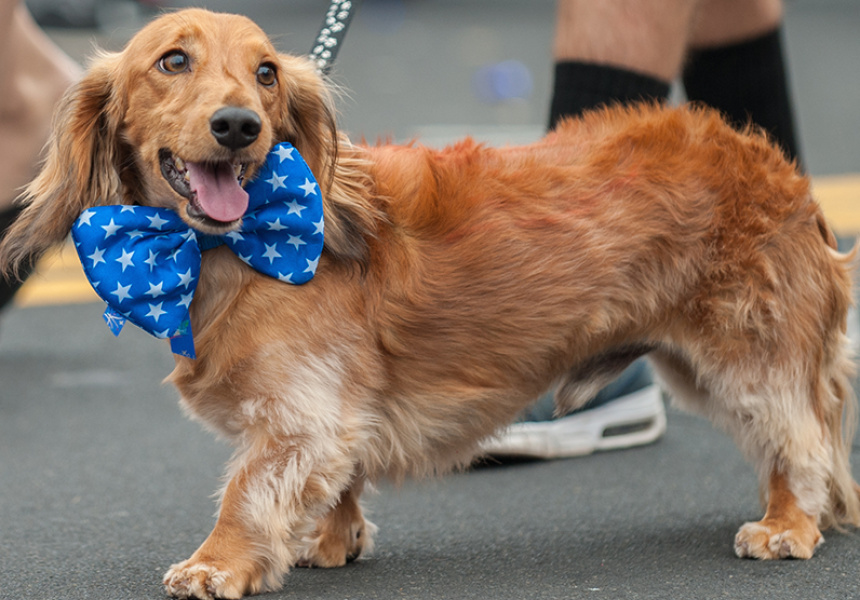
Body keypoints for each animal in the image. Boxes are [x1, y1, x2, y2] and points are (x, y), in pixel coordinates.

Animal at [1, 9, 860, 600]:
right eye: (172, 61)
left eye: (266, 73)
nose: (238, 125)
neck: (234, 245)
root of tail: (777, 168)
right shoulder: (333, 416)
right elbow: (336, 479)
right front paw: (333, 539)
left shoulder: (300, 417)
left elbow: (247, 494)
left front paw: (217, 565)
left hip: (747, 355)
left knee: (801, 442)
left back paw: (788, 523)